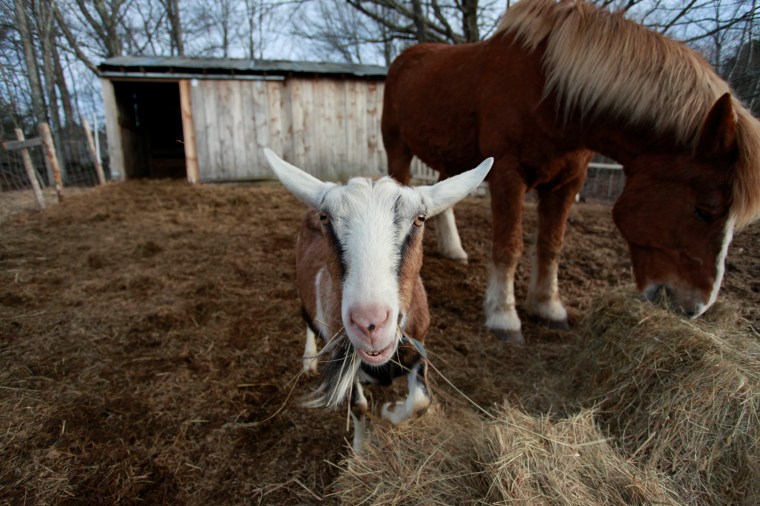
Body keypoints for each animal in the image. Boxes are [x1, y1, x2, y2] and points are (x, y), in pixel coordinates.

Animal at [263, 148, 493, 450]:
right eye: (326, 218)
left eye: (420, 218)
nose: (369, 324)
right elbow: (359, 406)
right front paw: (360, 449)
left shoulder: (417, 349)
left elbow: (421, 401)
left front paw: (390, 410)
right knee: (307, 322)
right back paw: (309, 361)